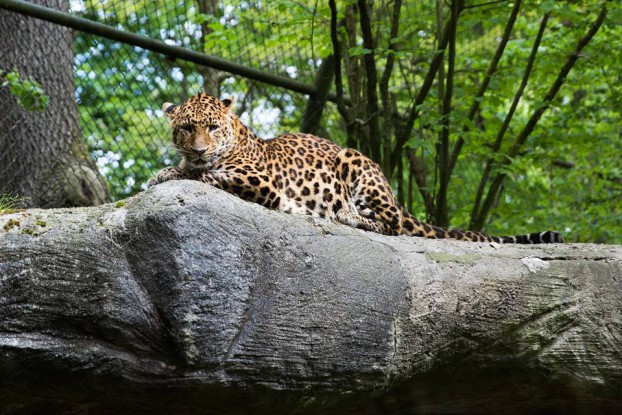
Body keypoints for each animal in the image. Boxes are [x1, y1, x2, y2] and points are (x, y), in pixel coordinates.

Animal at [147, 92, 564, 244]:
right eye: (187, 128)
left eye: (213, 128)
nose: (200, 149)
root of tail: (397, 196)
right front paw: (167, 170)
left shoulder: (262, 182)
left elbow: (204, 173)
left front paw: (169, 174)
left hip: (355, 160)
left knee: (393, 225)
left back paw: (349, 216)